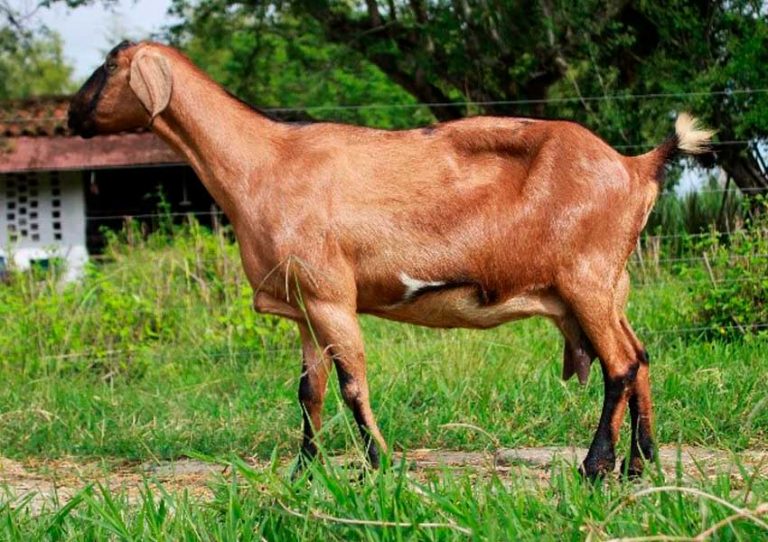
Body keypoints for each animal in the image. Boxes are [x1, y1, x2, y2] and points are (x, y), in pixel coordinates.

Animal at [69, 42, 712, 478]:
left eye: (108, 65)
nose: (72, 116)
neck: (263, 163)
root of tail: (636, 166)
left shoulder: (331, 294)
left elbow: (353, 382)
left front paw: (377, 465)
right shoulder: (303, 306)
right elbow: (310, 390)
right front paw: (305, 471)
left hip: (586, 278)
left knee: (620, 364)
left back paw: (596, 466)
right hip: (609, 284)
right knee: (640, 357)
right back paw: (642, 463)